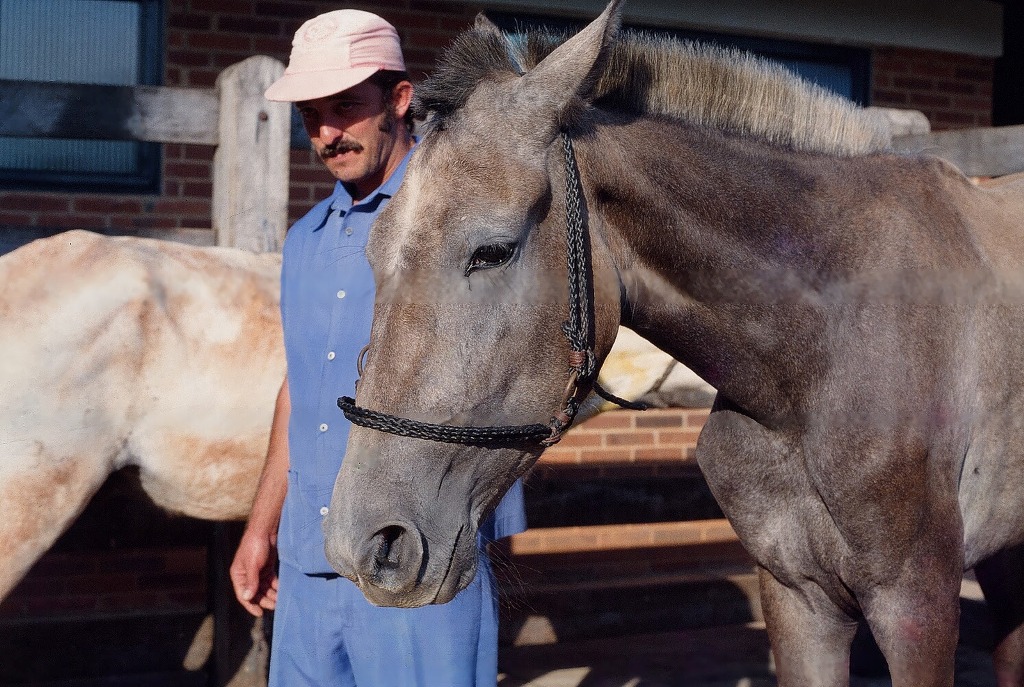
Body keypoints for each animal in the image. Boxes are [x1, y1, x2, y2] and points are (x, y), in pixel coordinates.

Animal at [323, 2, 1024, 683]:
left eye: (493, 250)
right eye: (374, 252)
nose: (364, 546)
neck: (821, 353)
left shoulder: (916, 606)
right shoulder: (798, 597)